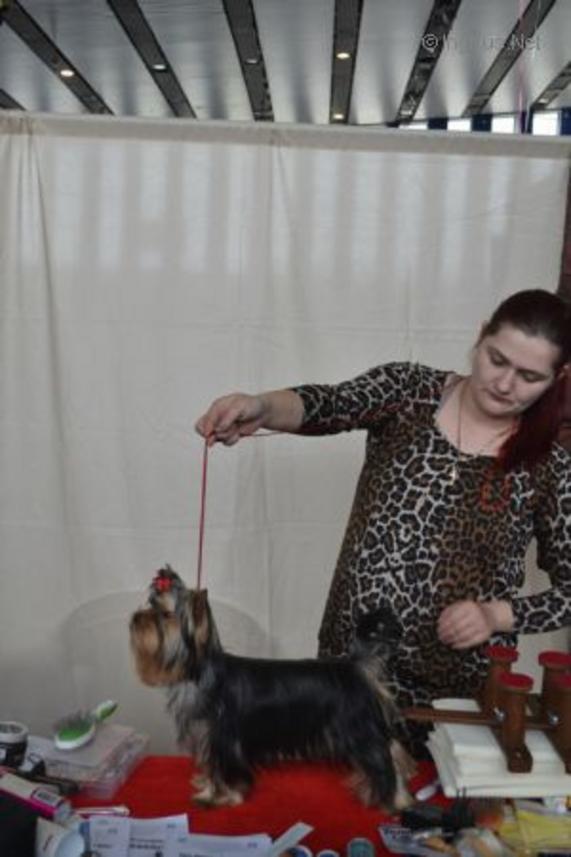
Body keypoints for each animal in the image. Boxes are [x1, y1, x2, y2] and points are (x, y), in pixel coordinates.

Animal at [129, 566, 414, 809]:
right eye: (150, 604)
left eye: (165, 615)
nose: (135, 618)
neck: (200, 673)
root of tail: (354, 666)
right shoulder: (206, 738)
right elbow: (211, 768)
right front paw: (206, 787)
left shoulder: (222, 739)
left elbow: (223, 771)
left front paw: (218, 797)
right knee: (392, 749)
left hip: (356, 729)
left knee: (382, 757)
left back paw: (392, 799)